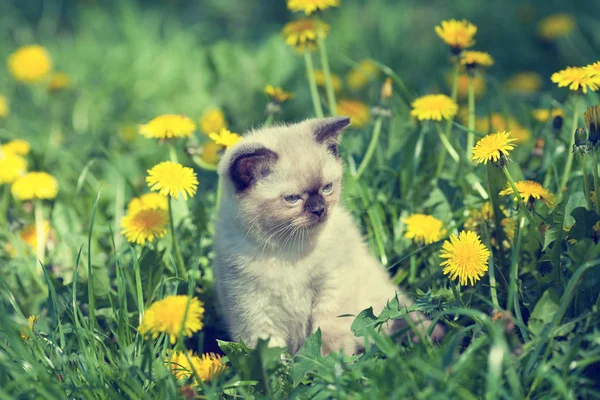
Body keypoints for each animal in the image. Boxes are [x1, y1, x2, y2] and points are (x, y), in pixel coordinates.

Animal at [213, 117, 442, 354]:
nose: (319, 209)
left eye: (327, 188)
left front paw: (329, 361)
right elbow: (268, 353)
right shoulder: (253, 308)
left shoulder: (331, 287)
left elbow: (328, 336)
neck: (288, 248)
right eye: (292, 198)